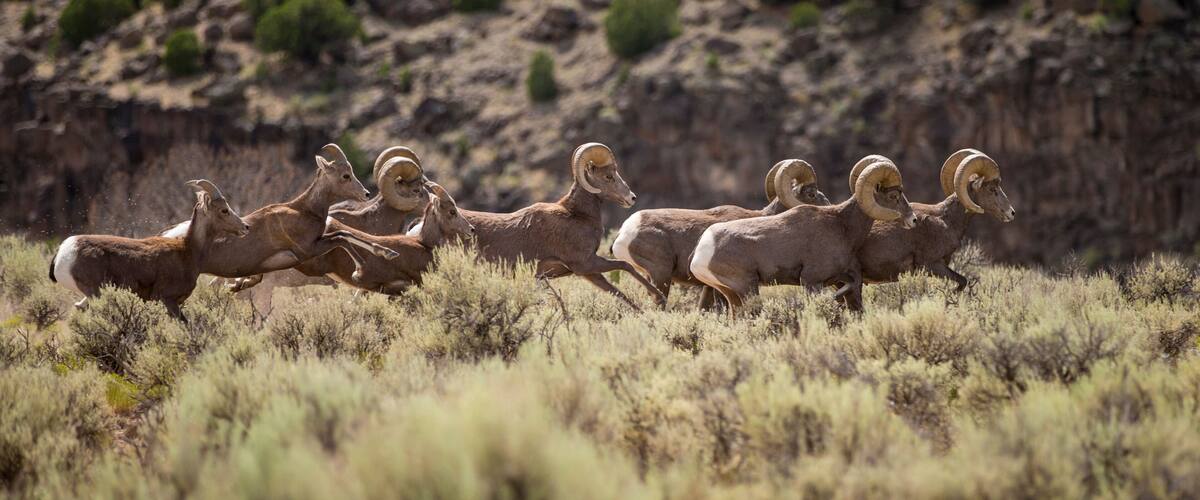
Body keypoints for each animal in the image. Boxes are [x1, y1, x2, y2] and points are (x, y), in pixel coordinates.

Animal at [49, 180, 250, 321]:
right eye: (224, 210)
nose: (245, 227)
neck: (188, 251)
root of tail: (63, 252)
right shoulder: (168, 301)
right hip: (96, 294)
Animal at [159, 144, 401, 292]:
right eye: (345, 176)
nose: (366, 194)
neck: (303, 210)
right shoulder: (308, 249)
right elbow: (343, 237)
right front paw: (366, 267)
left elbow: (345, 234)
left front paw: (388, 253)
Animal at [453, 142, 667, 309]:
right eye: (608, 176)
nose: (632, 198)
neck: (577, 216)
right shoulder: (585, 263)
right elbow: (625, 266)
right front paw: (659, 297)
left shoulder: (588, 272)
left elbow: (619, 294)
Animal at [689, 158, 917, 313]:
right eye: (894, 195)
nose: (913, 219)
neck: (841, 225)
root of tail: (702, 250)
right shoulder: (811, 281)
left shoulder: (842, 276)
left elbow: (851, 285)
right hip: (747, 288)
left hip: (731, 294)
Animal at [857, 149, 1015, 290]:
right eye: (992, 189)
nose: (1012, 212)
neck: (947, 221)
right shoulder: (932, 265)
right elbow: (962, 281)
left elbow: (962, 281)